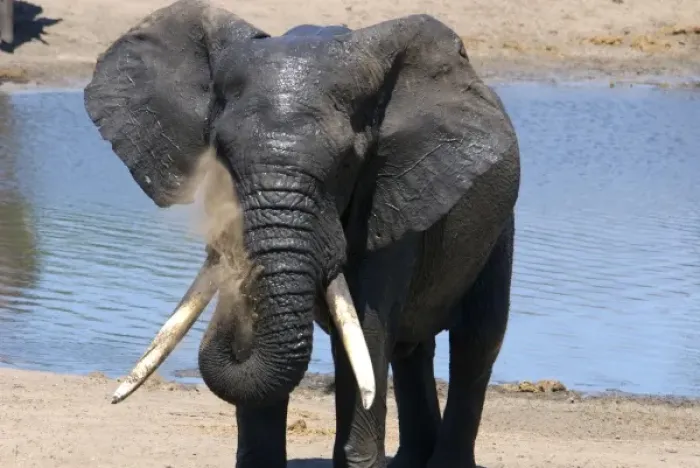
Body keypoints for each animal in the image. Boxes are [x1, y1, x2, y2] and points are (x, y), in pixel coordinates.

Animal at [82, 1, 521, 467]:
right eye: (220, 156)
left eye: (347, 162)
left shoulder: (390, 193)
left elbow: (368, 326)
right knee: (411, 349)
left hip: (499, 225)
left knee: (475, 341)